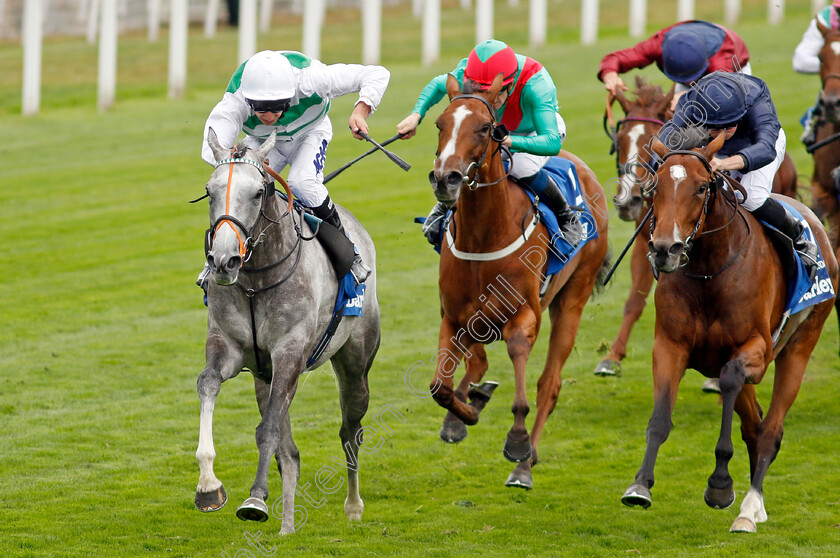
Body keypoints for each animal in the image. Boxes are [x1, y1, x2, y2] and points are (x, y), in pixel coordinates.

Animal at [194, 129, 380, 536]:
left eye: (257, 192)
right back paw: (288, 525)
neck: (255, 280)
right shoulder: (230, 347)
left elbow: (268, 431)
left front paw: (254, 500)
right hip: (263, 376)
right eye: (209, 190)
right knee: (289, 449)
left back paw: (353, 505)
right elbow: (209, 384)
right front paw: (208, 486)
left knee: (350, 432)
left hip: (356, 362)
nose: (223, 260)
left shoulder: (290, 352)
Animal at [426, 73, 612, 490]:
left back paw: (525, 465)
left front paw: (516, 440)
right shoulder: (453, 316)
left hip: (572, 300)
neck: (483, 235)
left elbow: (518, 371)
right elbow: (442, 387)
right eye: (440, 124)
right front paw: (465, 412)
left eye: (484, 127)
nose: (446, 178)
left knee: (549, 385)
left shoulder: (525, 316)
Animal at [596, 77, 800, 376]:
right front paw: (611, 357)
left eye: (648, 140)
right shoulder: (649, 239)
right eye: (619, 141)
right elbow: (635, 300)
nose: (627, 201)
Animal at [620, 135, 836, 532]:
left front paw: (720, 484)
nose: (665, 249)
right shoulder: (669, 346)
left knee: (770, 430)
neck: (709, 271)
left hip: (800, 344)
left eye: (701, 187)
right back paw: (757, 502)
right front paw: (640, 486)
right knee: (754, 424)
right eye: (656, 188)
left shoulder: (756, 352)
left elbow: (732, 381)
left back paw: (749, 510)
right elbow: (659, 419)